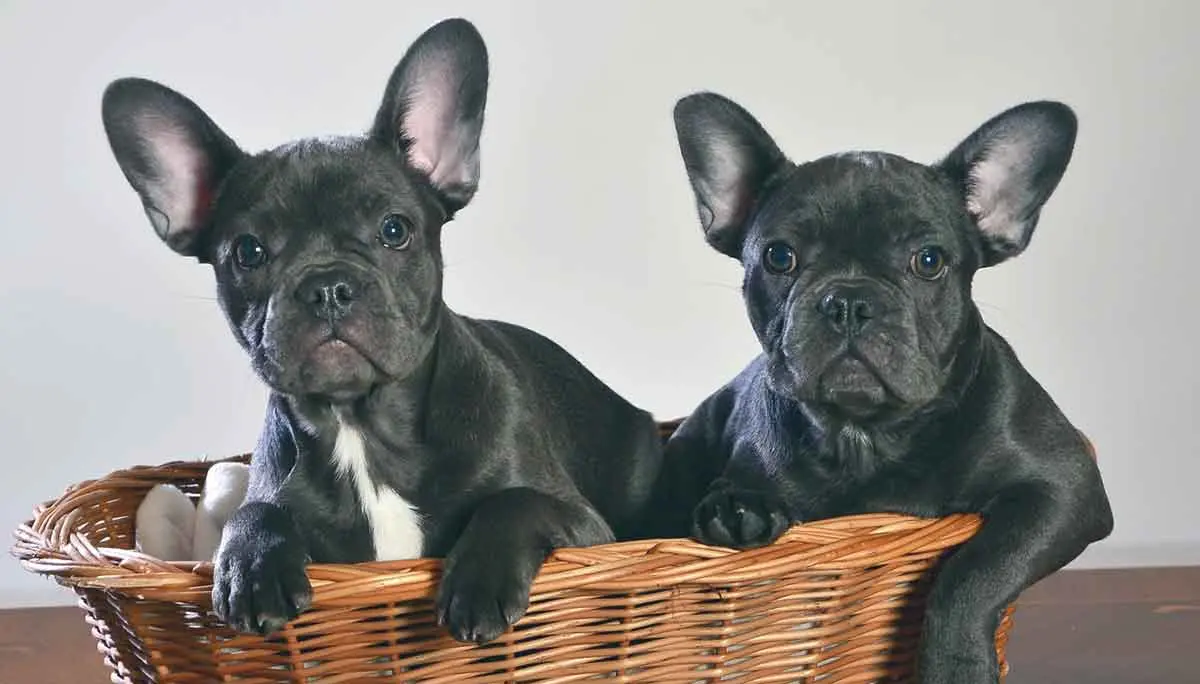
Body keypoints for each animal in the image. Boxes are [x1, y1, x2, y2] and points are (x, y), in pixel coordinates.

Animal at [100, 18, 667, 643]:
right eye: (248, 252)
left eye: (395, 230)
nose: (327, 285)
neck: (362, 425)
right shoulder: (278, 495)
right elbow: (252, 510)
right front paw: (251, 568)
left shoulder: (586, 526)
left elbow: (515, 503)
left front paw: (478, 585)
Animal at [657, 93, 1113, 676]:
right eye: (779, 256)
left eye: (929, 261)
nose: (849, 300)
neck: (866, 432)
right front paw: (737, 510)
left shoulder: (1062, 488)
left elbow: (978, 569)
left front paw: (956, 666)